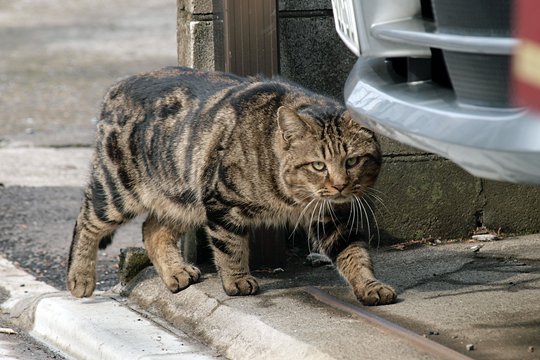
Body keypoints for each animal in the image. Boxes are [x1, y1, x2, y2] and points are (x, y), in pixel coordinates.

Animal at [67, 66, 396, 306]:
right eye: (318, 165)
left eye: (352, 161)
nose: (340, 185)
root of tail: (118, 85)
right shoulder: (220, 200)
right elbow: (230, 246)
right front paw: (237, 280)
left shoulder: (333, 217)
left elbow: (354, 253)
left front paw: (370, 285)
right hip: (118, 189)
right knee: (87, 220)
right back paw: (80, 277)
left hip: (182, 199)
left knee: (152, 229)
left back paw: (176, 271)